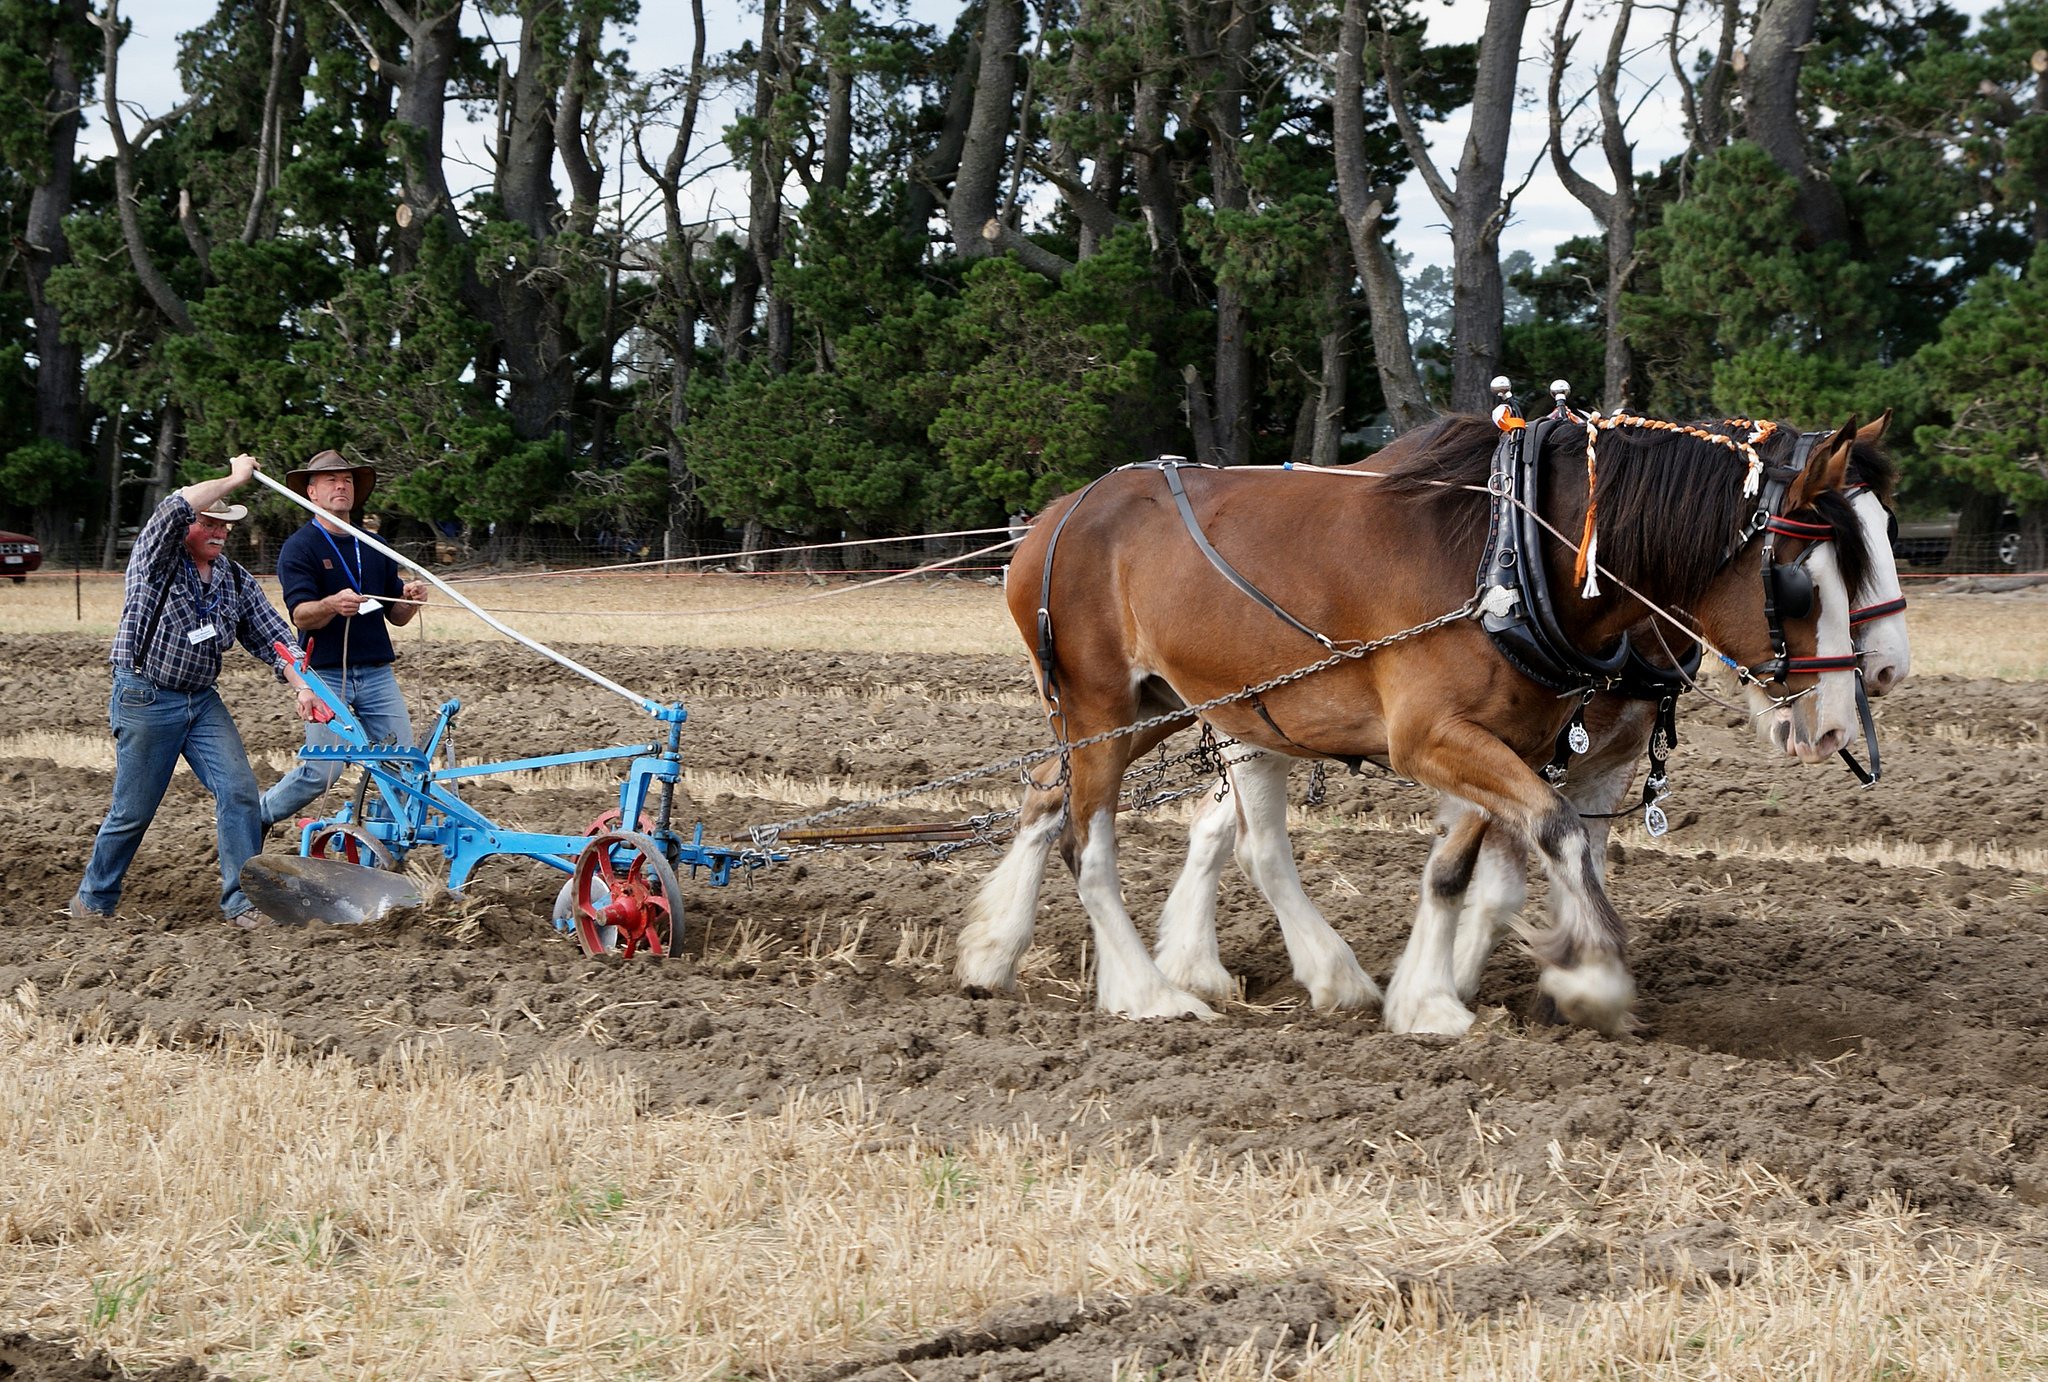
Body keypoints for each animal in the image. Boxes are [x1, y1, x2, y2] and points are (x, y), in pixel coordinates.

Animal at [958, 413, 1878, 1034]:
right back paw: (1149, 991)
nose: (1839, 725)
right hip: (1101, 706)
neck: (1514, 553)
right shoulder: (1434, 738)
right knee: (1089, 841)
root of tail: (1054, 516)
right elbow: (1559, 832)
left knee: (1044, 795)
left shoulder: (1510, 740)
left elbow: (1460, 868)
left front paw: (1428, 997)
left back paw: (994, 953)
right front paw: (1593, 979)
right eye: (1802, 585)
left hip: (1160, 705)